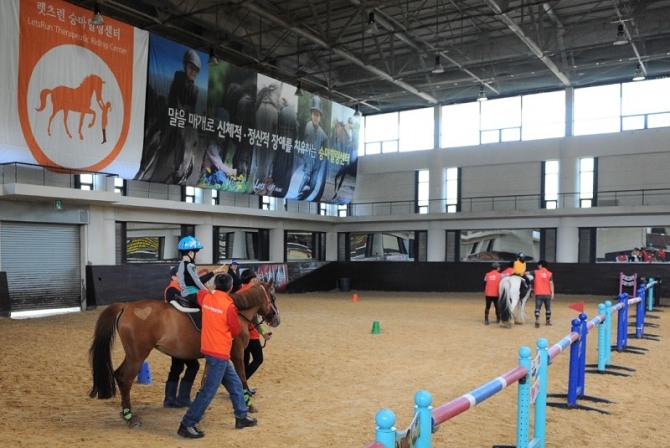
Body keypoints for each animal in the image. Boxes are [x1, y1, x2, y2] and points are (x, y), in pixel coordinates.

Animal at [88, 280, 278, 428]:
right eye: (273, 297)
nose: (276, 319)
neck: (237, 311)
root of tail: (126, 306)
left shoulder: (213, 357)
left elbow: (206, 381)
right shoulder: (236, 353)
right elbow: (242, 378)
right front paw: (249, 407)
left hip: (133, 355)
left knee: (119, 375)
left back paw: (126, 413)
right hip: (137, 356)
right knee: (125, 379)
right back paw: (130, 417)